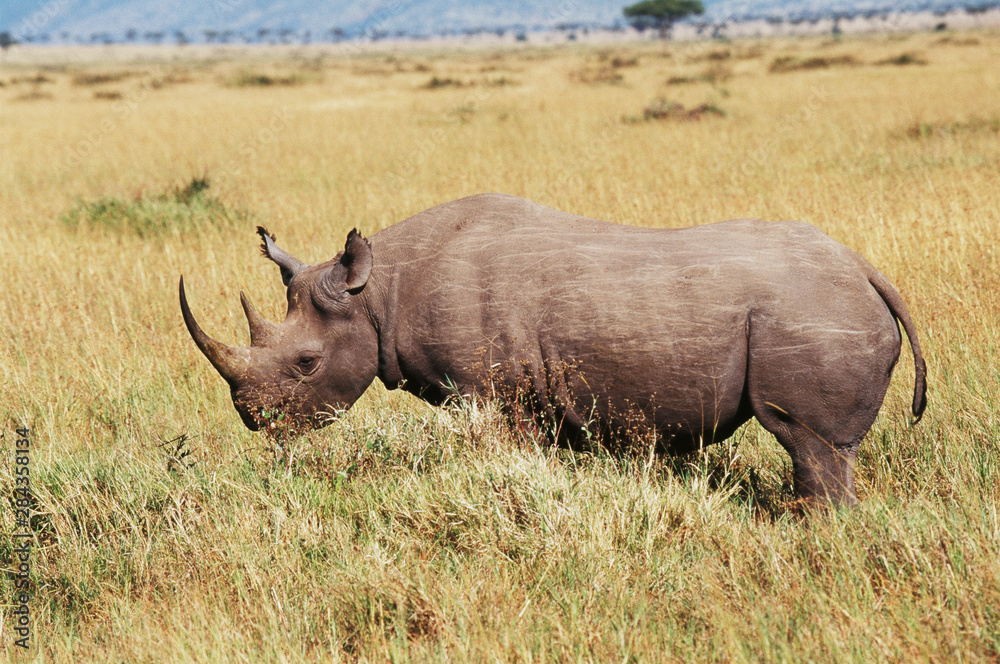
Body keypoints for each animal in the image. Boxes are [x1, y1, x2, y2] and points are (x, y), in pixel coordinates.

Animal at [180, 193, 926, 505]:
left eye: (305, 364)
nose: (253, 419)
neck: (377, 293)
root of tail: (866, 270)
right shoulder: (531, 396)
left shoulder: (487, 392)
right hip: (819, 305)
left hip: (809, 311)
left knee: (812, 445)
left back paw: (815, 526)